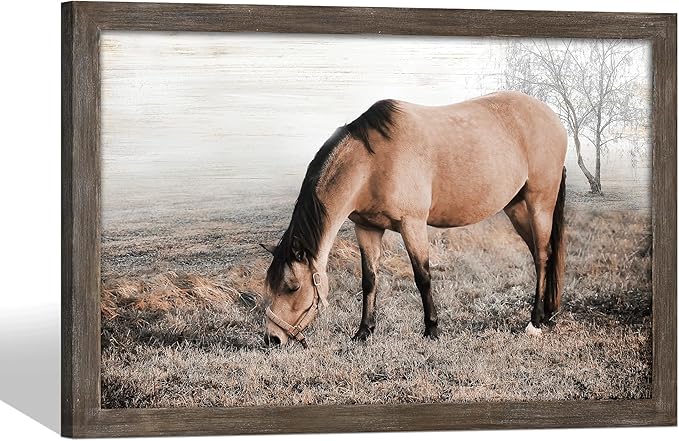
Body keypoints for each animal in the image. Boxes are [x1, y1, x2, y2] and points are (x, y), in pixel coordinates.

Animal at [260, 91, 567, 347]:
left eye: (292, 287)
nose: (272, 339)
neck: (372, 163)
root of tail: (553, 118)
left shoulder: (413, 224)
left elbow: (422, 276)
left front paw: (432, 329)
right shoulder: (367, 228)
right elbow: (369, 280)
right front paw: (364, 331)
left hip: (539, 203)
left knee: (542, 255)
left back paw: (535, 322)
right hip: (515, 207)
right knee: (540, 254)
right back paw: (547, 313)